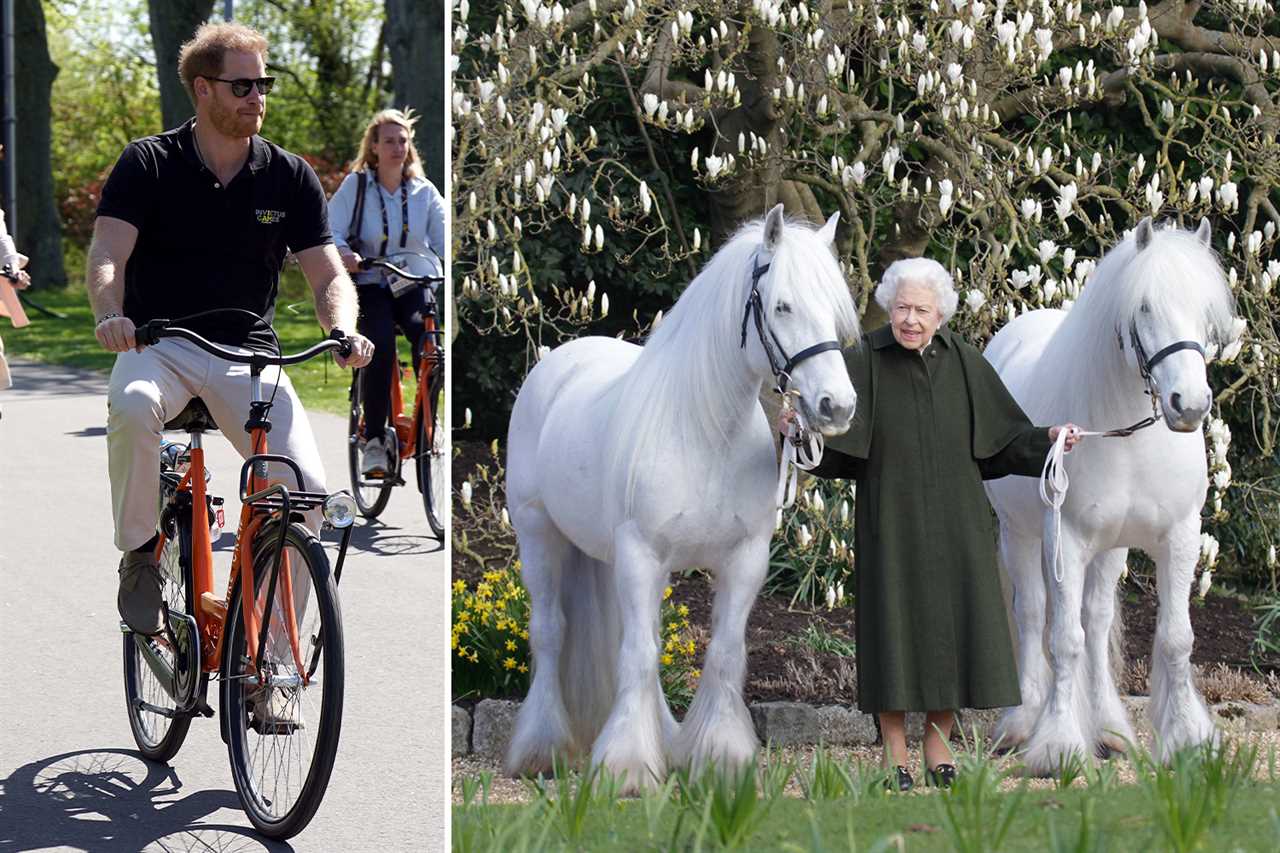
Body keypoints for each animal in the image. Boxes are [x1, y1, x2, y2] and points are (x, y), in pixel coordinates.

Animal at [501, 206, 860, 788]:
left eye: (833, 311)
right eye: (783, 305)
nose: (838, 406)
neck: (704, 432)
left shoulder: (744, 560)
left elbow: (724, 653)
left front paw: (720, 755)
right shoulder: (641, 554)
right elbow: (639, 656)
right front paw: (626, 767)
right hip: (540, 537)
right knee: (551, 633)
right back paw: (542, 749)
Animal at [977, 217, 1239, 768]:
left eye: (1205, 310)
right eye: (1144, 307)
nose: (1190, 404)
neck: (1128, 437)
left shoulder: (1180, 537)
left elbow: (1175, 638)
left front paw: (1187, 738)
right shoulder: (1067, 540)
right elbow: (1063, 639)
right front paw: (1057, 744)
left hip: (1111, 548)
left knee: (1096, 622)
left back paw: (1111, 730)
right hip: (1020, 536)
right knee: (1033, 615)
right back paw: (1021, 723)